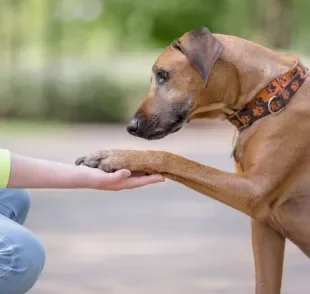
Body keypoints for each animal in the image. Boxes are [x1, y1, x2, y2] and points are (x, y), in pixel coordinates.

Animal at [76, 27, 310, 292]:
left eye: (163, 75)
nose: (130, 127)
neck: (271, 96)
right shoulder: (264, 227)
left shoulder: (254, 192)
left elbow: (175, 159)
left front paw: (118, 156)